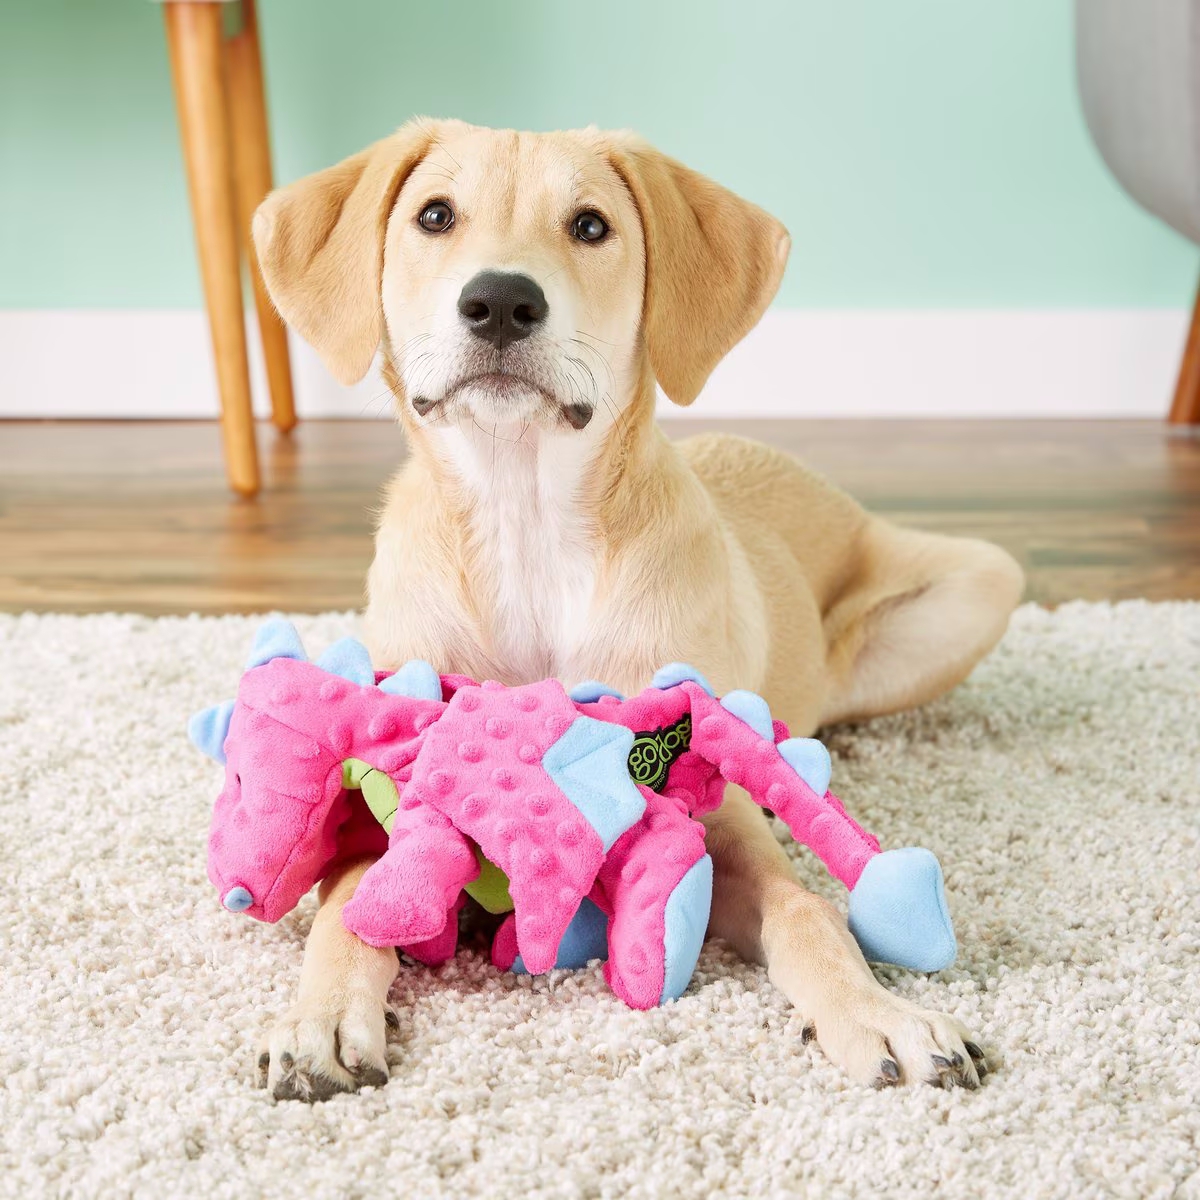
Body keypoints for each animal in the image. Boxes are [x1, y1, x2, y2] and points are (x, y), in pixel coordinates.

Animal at [250, 119, 1022, 1099]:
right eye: (434, 216)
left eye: (590, 226)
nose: (500, 302)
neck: (526, 530)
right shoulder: (381, 791)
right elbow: (345, 907)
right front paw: (320, 1019)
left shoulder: (716, 817)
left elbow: (806, 909)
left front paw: (878, 1013)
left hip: (984, 579)